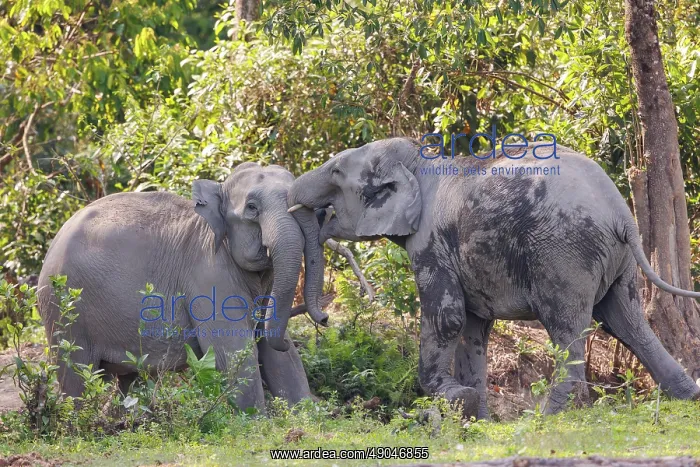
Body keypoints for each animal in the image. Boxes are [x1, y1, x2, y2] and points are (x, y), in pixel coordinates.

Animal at [38, 162, 329, 411]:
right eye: (252, 208)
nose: (325, 318)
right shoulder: (209, 273)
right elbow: (233, 351)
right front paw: (254, 420)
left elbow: (278, 354)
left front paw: (305, 413)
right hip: (64, 308)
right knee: (74, 375)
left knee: (127, 379)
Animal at [287, 137, 700, 419]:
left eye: (336, 172)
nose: (325, 319)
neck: (418, 162)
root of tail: (620, 213)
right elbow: (472, 328)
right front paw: (476, 417)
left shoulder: (431, 244)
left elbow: (446, 317)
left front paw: (454, 398)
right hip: (614, 260)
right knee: (625, 322)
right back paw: (688, 398)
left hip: (564, 254)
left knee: (568, 327)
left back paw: (545, 419)